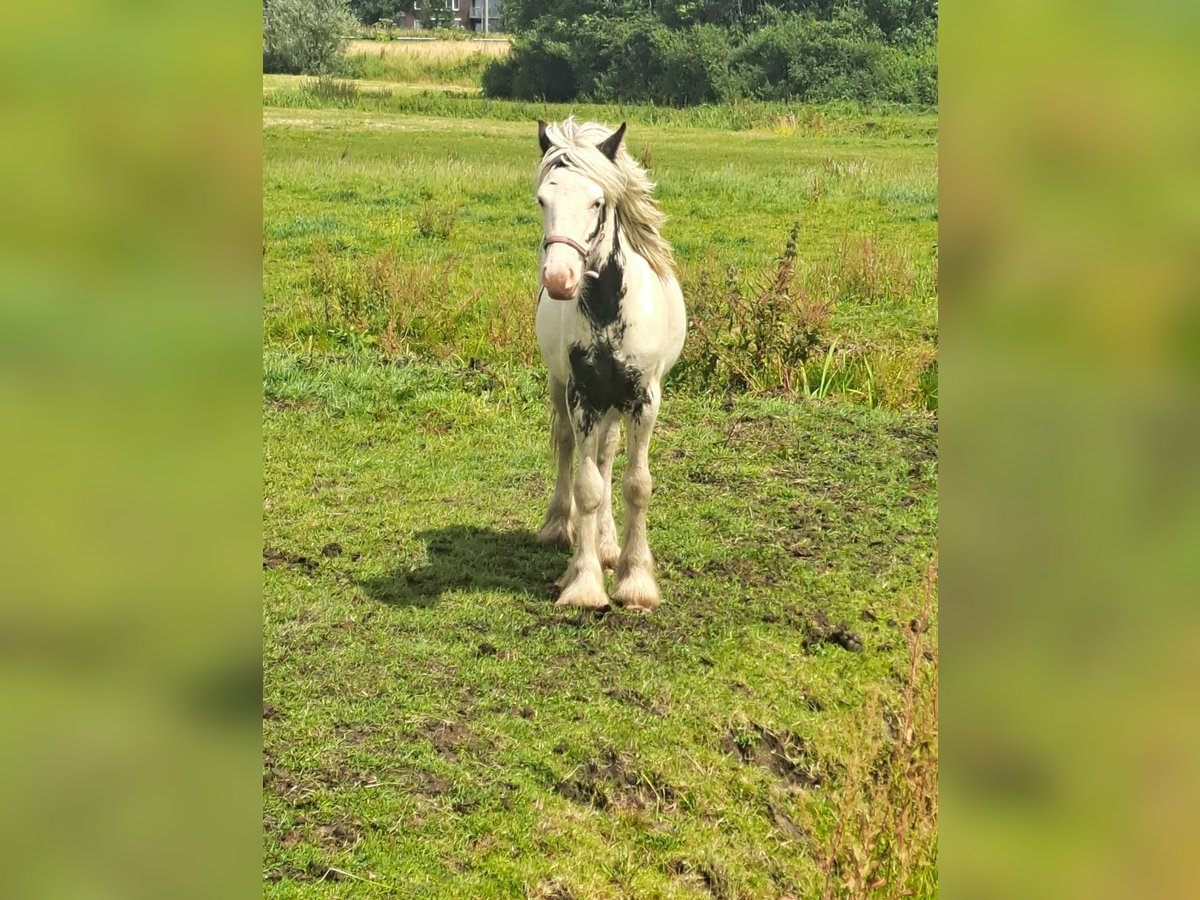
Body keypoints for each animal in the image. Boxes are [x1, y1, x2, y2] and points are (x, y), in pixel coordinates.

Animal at [532, 118, 691, 614]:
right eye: (542, 199)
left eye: (597, 202)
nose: (559, 279)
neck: (606, 312)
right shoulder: (582, 396)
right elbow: (587, 487)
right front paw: (584, 584)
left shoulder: (643, 400)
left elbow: (636, 484)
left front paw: (635, 579)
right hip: (563, 390)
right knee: (571, 451)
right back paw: (560, 527)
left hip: (615, 406)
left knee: (606, 457)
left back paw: (607, 545)